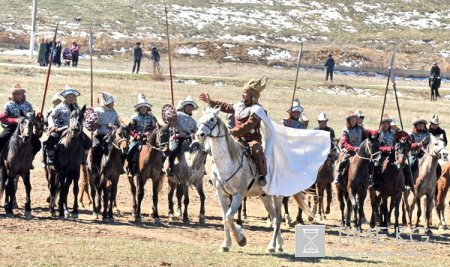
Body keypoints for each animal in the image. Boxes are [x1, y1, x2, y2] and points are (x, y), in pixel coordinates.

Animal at [197, 108, 312, 254]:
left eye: (212, 119)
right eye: (201, 118)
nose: (199, 134)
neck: (227, 162)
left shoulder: (239, 194)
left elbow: (229, 217)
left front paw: (241, 239)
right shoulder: (221, 194)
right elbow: (224, 218)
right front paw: (226, 244)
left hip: (277, 196)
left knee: (278, 219)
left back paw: (272, 246)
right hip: (265, 197)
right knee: (273, 218)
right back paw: (279, 245)